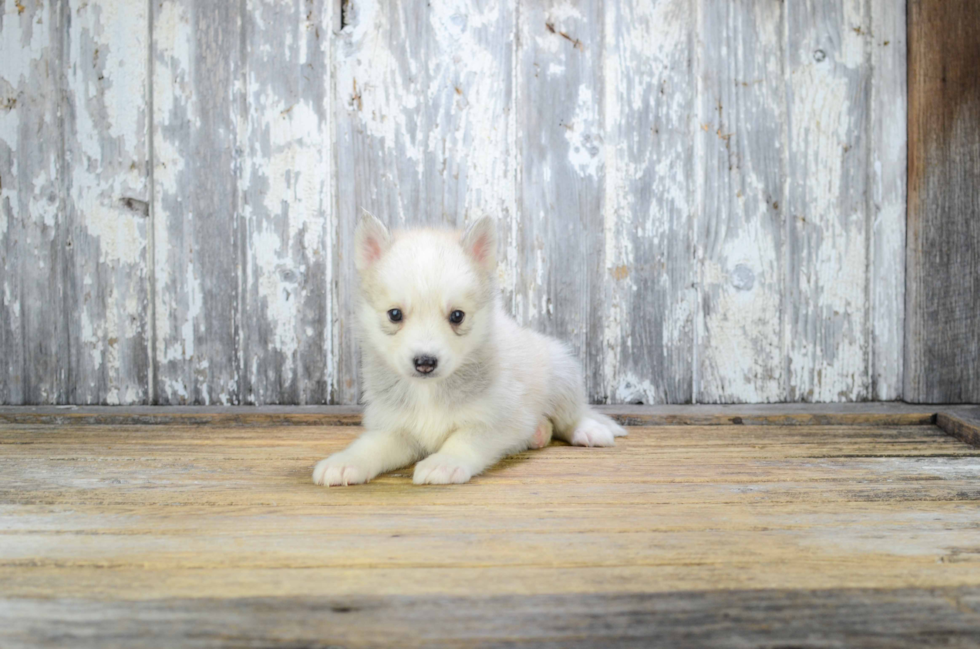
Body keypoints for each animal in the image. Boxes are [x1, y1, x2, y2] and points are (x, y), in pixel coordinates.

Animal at [310, 214, 624, 486]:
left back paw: (588, 430)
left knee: (572, 415)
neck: (428, 392)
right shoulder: (396, 428)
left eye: (457, 316)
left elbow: (463, 439)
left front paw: (443, 462)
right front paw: (344, 462)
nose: (425, 362)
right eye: (395, 314)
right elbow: (370, 445)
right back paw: (538, 433)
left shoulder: (500, 419)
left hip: (562, 374)